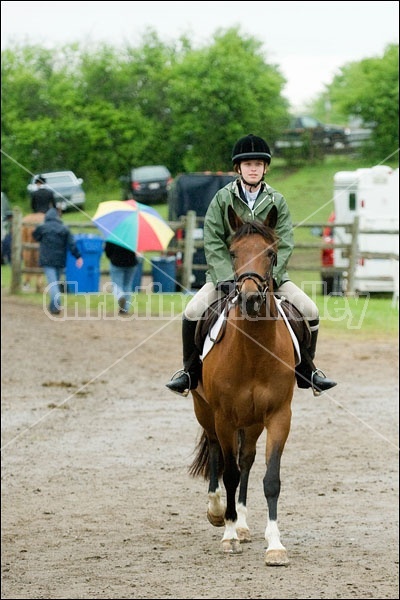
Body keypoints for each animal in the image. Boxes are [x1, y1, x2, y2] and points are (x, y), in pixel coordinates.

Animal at [189, 204, 296, 564]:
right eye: (233, 252)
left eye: (272, 253)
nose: (250, 298)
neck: (253, 352)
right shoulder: (224, 416)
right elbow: (229, 472)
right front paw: (229, 535)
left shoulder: (279, 416)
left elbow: (271, 479)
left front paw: (274, 544)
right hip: (206, 412)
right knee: (217, 455)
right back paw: (218, 512)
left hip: (251, 423)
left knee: (246, 459)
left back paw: (245, 523)